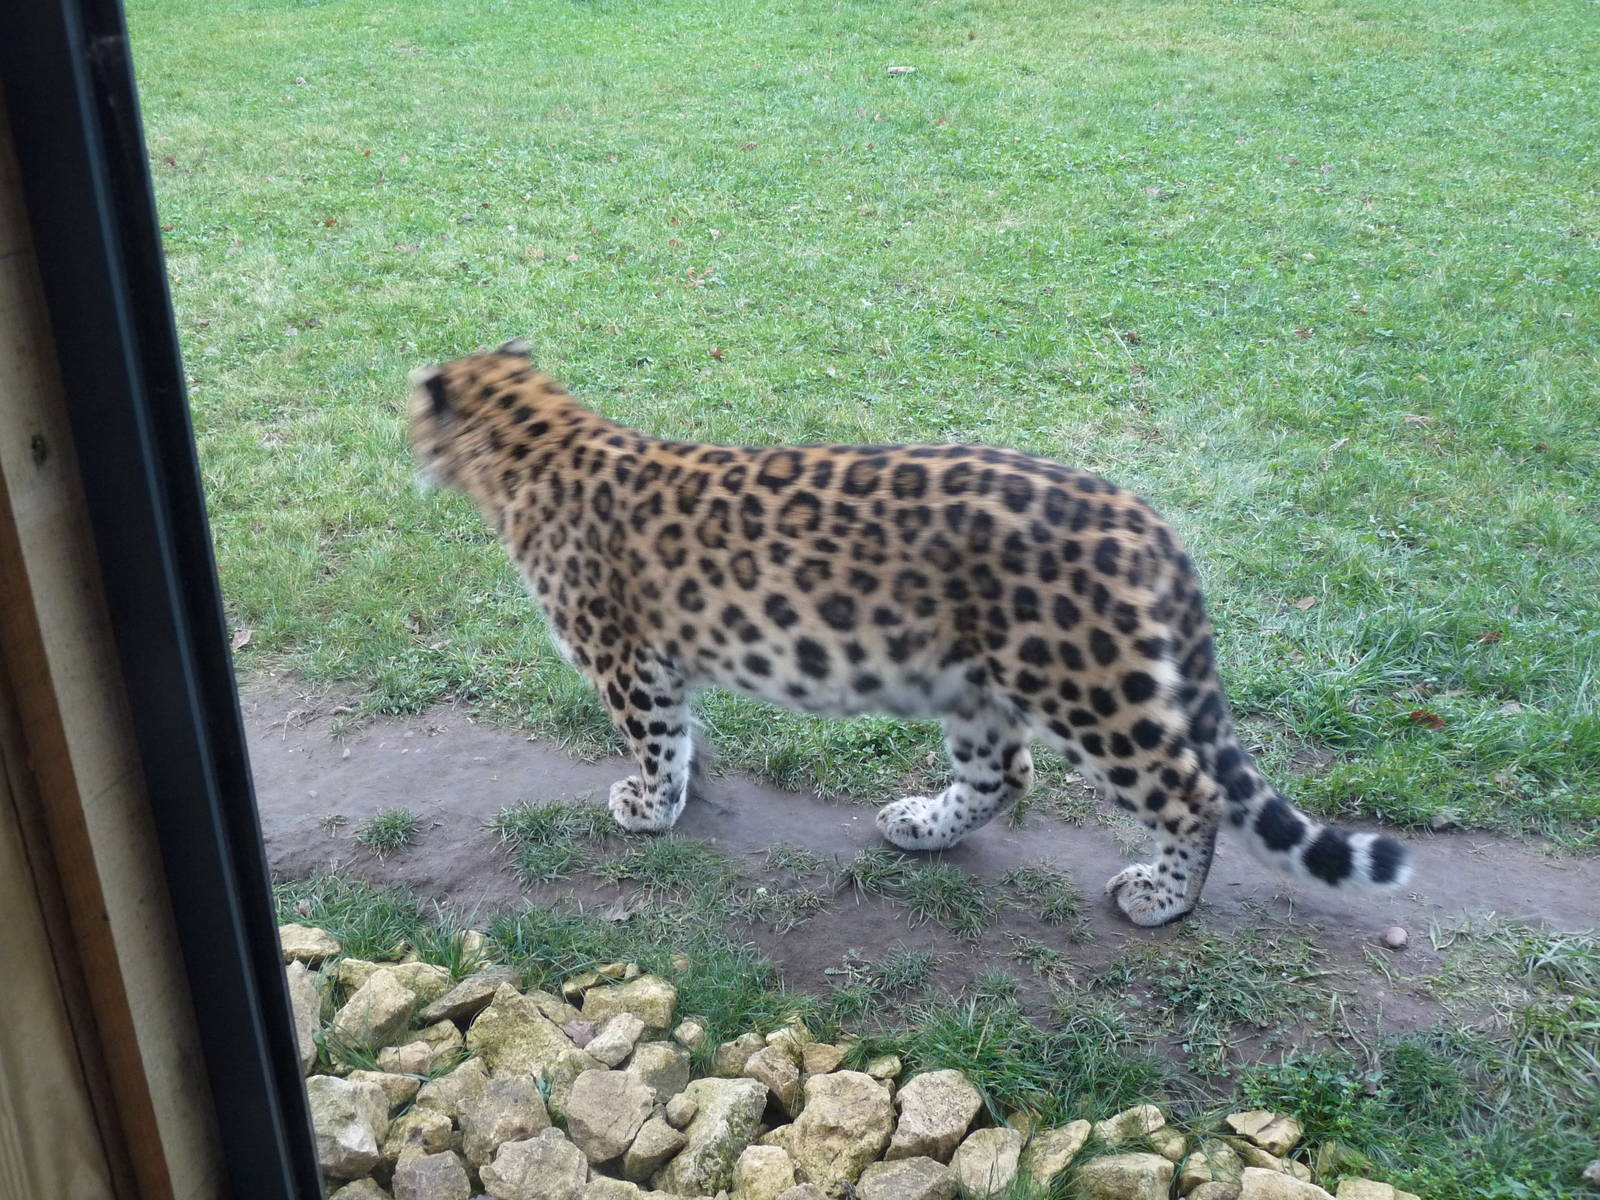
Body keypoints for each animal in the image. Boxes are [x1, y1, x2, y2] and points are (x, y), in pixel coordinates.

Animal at [408, 340, 1411, 926]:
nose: (401, 439)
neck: (537, 442)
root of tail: (1145, 519)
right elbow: (684, 737)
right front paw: (681, 793)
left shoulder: (625, 656)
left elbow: (654, 740)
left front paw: (649, 809)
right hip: (976, 681)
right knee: (1004, 772)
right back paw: (924, 827)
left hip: (1088, 687)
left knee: (1188, 792)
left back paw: (1160, 898)